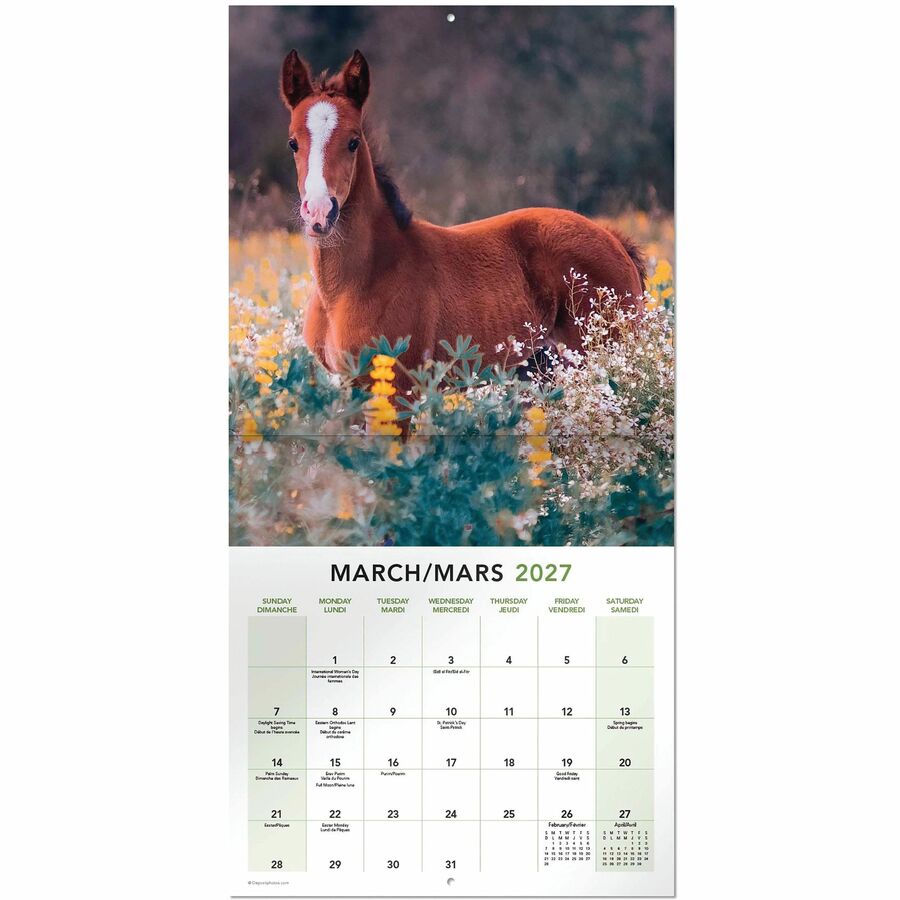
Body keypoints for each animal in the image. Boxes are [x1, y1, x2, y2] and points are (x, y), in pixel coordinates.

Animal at [280, 49, 646, 389]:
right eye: (293, 143)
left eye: (353, 141)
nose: (319, 212)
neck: (352, 285)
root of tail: (614, 240)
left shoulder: (400, 389)